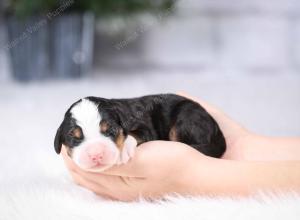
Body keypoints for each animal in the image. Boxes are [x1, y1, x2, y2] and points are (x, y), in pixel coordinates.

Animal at [54, 93, 225, 171]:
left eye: (111, 130)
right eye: (74, 137)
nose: (96, 155)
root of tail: (217, 129)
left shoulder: (144, 126)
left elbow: (133, 134)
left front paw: (123, 150)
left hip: (187, 119)